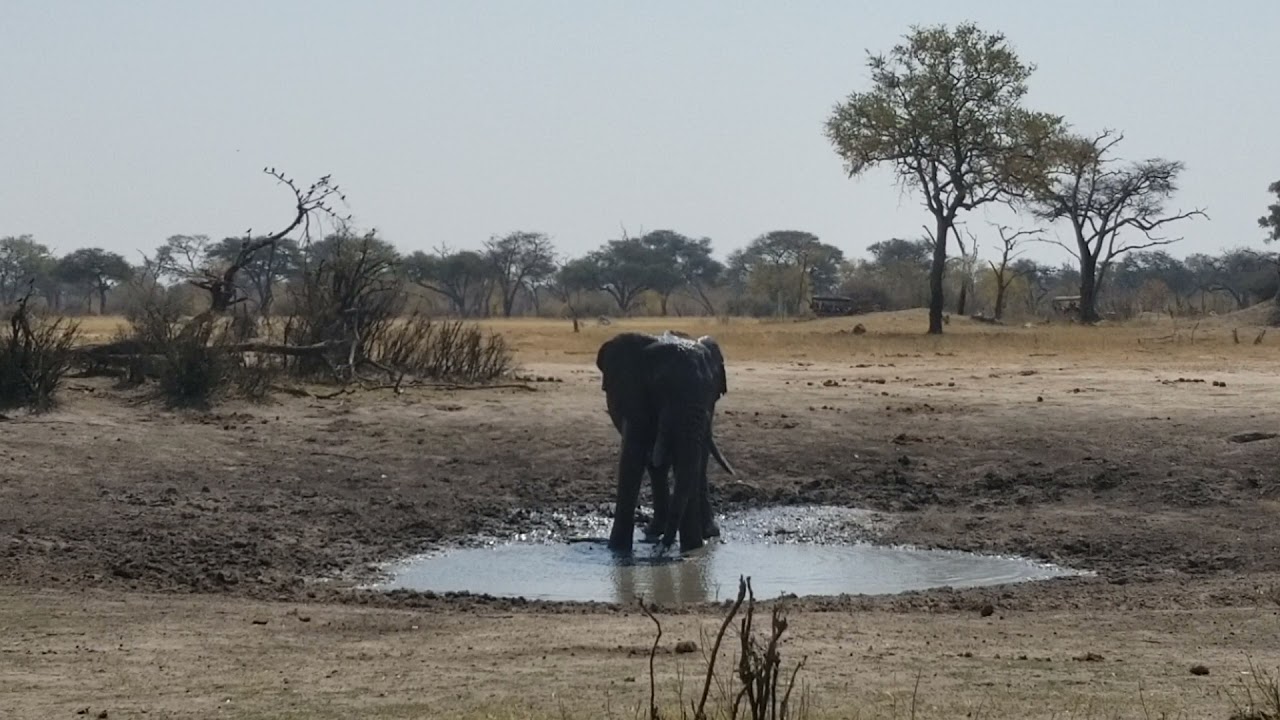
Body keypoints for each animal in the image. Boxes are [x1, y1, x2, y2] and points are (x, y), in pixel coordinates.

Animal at [596, 330, 734, 554]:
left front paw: (693, 549)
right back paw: (655, 532)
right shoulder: (634, 396)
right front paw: (617, 551)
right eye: (661, 387)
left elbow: (687, 462)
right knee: (657, 466)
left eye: (712, 391)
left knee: (696, 464)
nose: (660, 549)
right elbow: (632, 457)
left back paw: (707, 533)